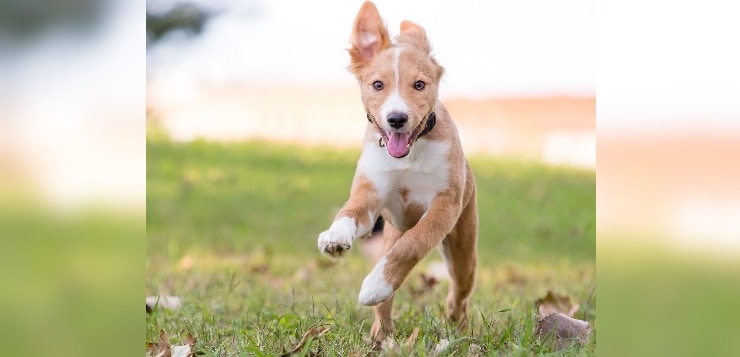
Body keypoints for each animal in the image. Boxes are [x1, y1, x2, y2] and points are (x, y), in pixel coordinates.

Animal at [316, 1, 476, 340]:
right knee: (386, 300)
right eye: (378, 85)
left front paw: (376, 284)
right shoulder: (371, 192)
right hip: (389, 234)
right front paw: (335, 236)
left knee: (459, 291)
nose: (397, 119)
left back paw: (457, 326)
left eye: (419, 85)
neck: (409, 155)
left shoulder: (445, 205)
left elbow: (412, 245)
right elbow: (350, 211)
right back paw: (381, 334)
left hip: (463, 248)